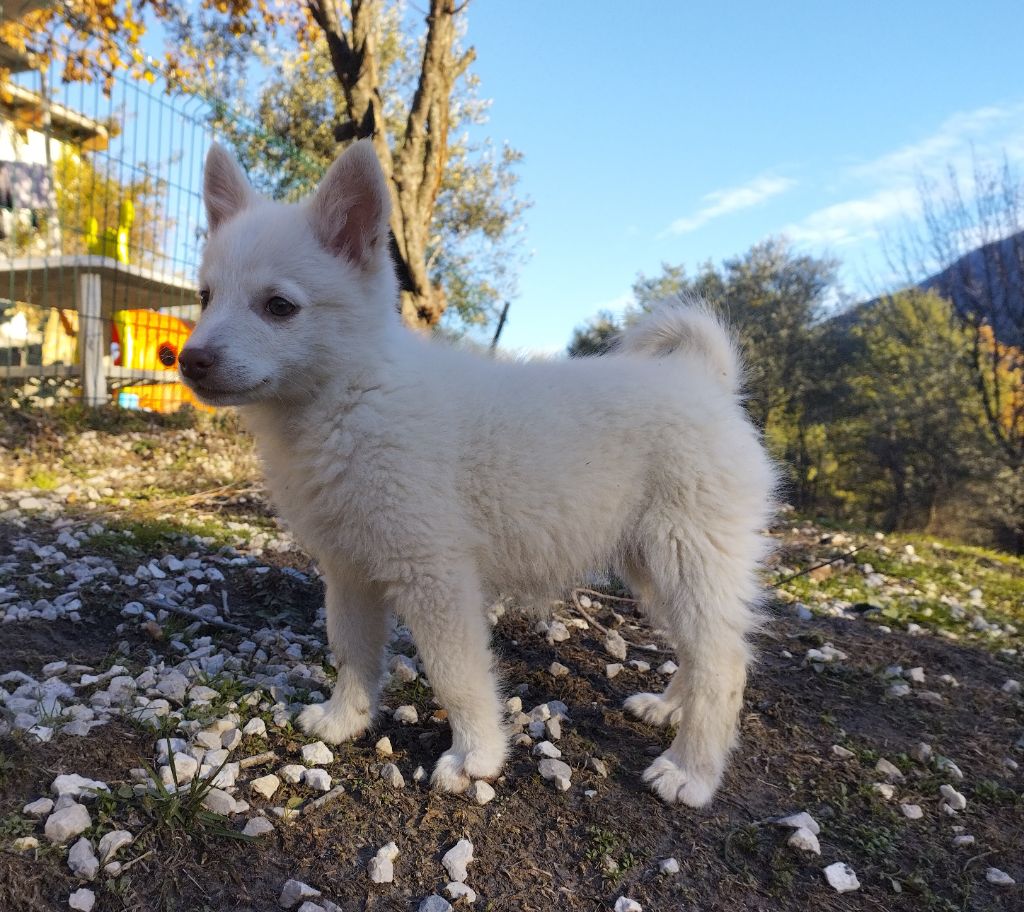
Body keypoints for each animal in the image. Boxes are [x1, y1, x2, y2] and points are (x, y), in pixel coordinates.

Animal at [179, 140, 777, 807]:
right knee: (700, 652)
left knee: (725, 663)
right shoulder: (350, 569)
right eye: (205, 296)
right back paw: (669, 709)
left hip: (688, 554)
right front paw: (343, 721)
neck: (350, 398)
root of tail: (708, 383)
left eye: (279, 307)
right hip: (651, 565)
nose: (188, 359)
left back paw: (690, 770)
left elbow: (456, 674)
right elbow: (352, 650)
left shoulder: (435, 576)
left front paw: (475, 758)